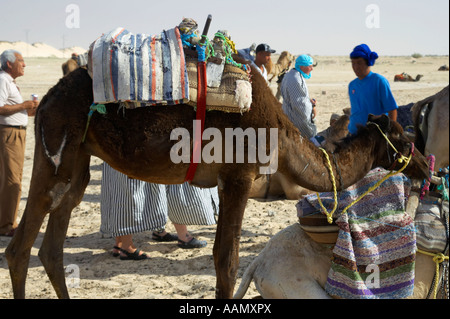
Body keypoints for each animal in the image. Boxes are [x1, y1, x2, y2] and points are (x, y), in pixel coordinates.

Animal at [5, 55, 428, 300]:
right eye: (406, 138)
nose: (426, 167)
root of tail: (45, 98)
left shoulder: (230, 182)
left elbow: (222, 258)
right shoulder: (238, 176)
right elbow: (226, 260)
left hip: (77, 161)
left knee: (53, 244)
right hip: (57, 147)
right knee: (21, 245)